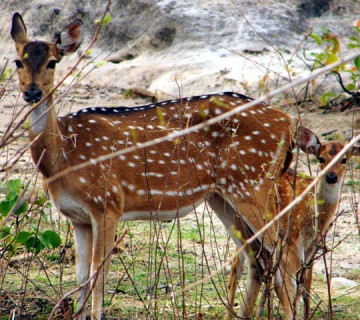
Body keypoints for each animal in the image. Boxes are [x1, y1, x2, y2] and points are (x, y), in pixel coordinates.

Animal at [11, 12, 294, 320]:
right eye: (17, 61)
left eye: (52, 61)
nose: (32, 92)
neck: (63, 157)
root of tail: (289, 123)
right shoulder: (77, 217)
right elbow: (82, 280)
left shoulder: (108, 203)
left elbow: (99, 277)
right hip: (222, 196)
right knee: (260, 258)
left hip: (254, 184)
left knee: (285, 256)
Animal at [225, 125, 358, 320]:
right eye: (321, 158)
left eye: (344, 159)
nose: (331, 177)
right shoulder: (291, 240)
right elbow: (289, 287)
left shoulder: (311, 247)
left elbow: (305, 286)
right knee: (237, 267)